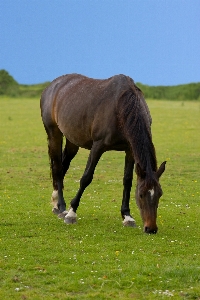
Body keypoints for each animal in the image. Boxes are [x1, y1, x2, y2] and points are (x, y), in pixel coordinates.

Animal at [40, 74, 166, 233]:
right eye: (141, 194)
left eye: (160, 194)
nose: (151, 228)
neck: (121, 107)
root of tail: (52, 85)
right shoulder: (97, 146)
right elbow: (86, 178)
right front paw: (71, 213)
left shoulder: (130, 150)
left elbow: (127, 180)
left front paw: (127, 217)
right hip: (54, 133)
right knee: (57, 167)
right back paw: (62, 208)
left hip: (72, 140)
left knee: (63, 167)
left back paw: (56, 204)